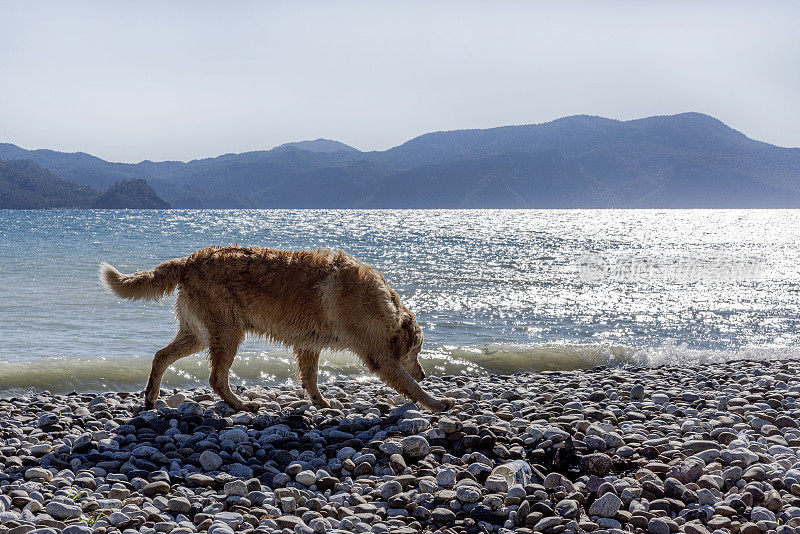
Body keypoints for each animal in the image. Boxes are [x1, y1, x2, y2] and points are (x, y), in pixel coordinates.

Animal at [98, 247, 456, 414]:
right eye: (418, 351)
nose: (426, 373)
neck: (383, 305)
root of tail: (189, 260)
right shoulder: (379, 355)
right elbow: (408, 385)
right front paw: (436, 401)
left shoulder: (309, 345)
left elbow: (311, 379)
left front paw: (322, 404)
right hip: (227, 332)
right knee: (216, 378)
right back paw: (242, 405)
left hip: (198, 333)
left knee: (161, 355)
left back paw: (151, 397)